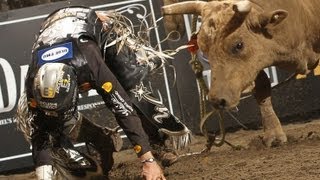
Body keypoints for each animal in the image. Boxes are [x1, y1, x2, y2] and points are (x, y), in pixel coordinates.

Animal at [162, 0, 320, 146]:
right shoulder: (254, 65)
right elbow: (262, 88)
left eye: (238, 45)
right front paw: (273, 135)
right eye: (204, 51)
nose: (216, 100)